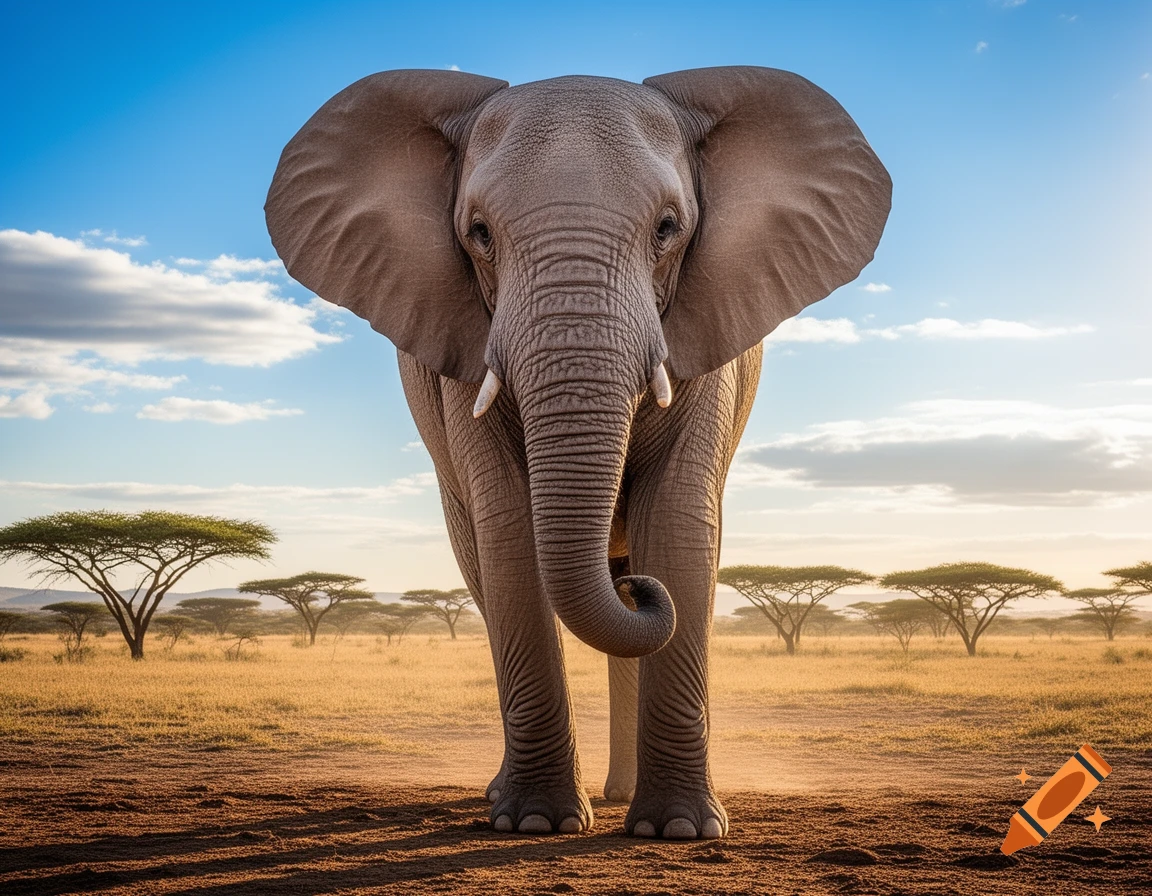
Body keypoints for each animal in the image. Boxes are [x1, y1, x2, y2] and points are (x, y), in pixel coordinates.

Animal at [265, 66, 890, 839]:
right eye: (478, 233)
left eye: (668, 228)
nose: (636, 588)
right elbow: (508, 531)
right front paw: (538, 823)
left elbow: (679, 522)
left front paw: (679, 832)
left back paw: (625, 794)